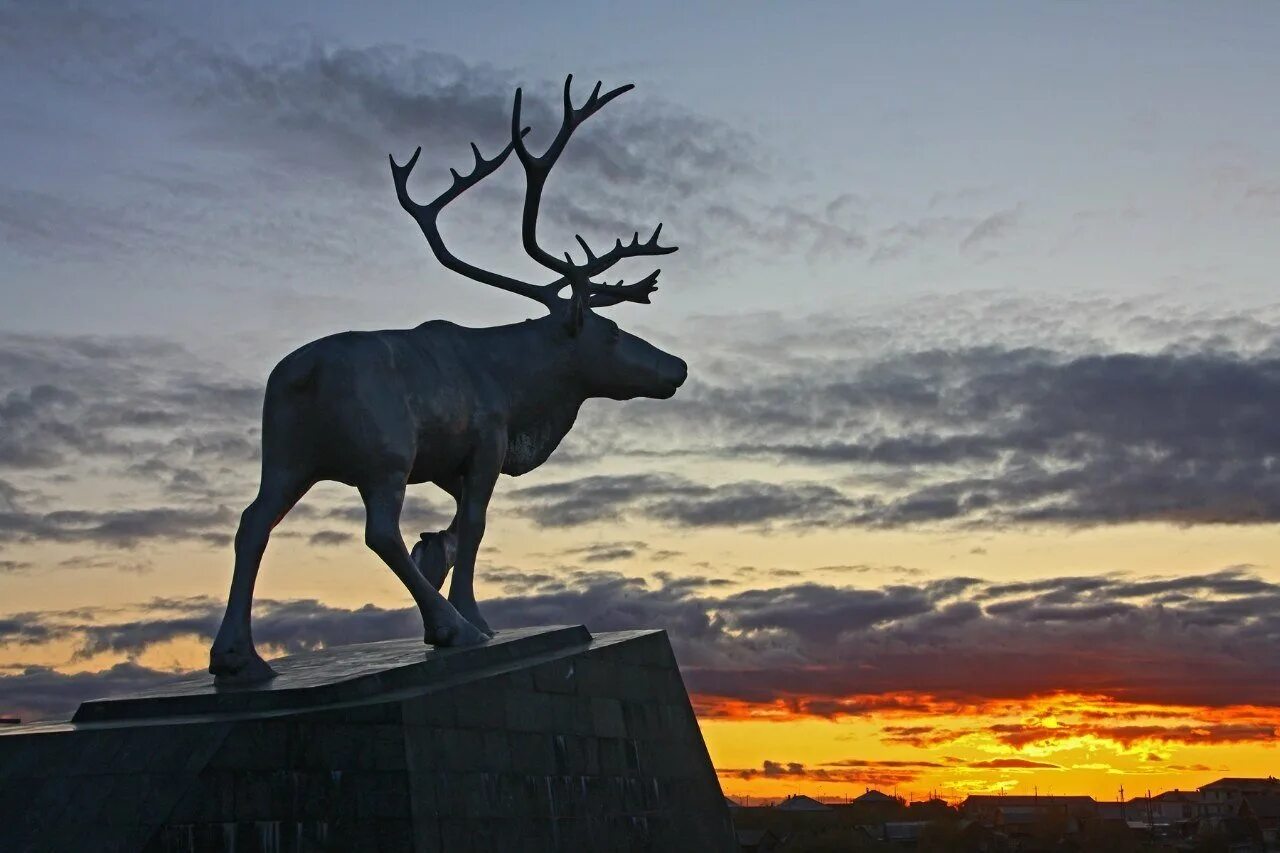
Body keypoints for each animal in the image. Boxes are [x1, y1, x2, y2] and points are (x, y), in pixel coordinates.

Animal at [211, 76, 691, 681]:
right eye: (611, 332)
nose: (678, 366)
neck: (520, 390)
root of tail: (302, 373)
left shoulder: (445, 463)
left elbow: (457, 529)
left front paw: (437, 562)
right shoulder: (486, 442)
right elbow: (477, 525)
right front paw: (470, 617)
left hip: (286, 458)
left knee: (252, 522)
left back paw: (236, 655)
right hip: (384, 454)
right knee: (378, 531)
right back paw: (450, 626)